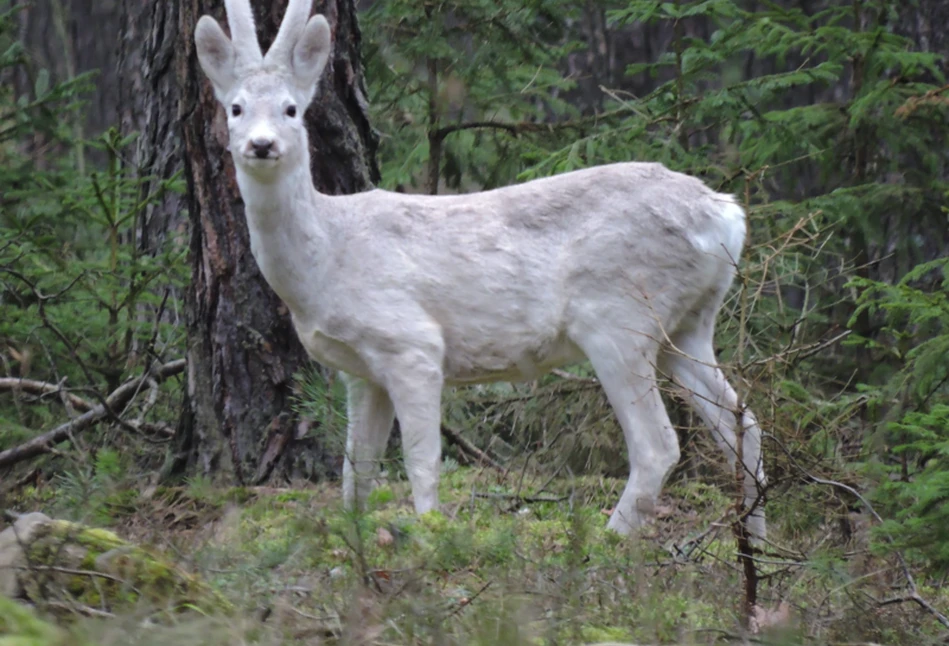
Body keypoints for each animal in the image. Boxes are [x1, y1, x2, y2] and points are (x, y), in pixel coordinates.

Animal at [196, 0, 768, 540]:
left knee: (658, 445)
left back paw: (606, 544)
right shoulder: (361, 374)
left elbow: (422, 464)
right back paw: (757, 549)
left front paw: (431, 539)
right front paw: (353, 545)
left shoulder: (411, 344)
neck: (326, 261)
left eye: (292, 109)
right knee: (743, 421)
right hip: (686, 326)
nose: (262, 144)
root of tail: (727, 215)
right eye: (235, 108)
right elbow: (355, 474)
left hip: (619, 318)